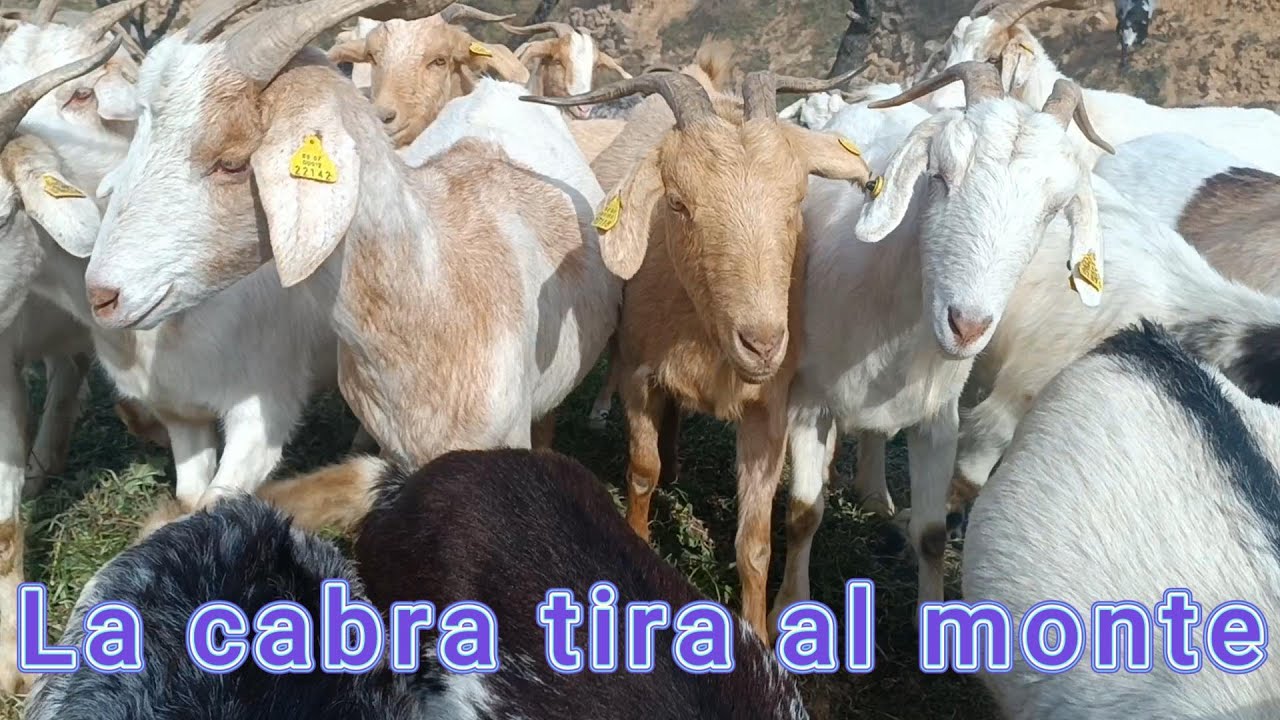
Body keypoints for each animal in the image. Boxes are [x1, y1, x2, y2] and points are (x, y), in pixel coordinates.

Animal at [524, 67, 877, 641]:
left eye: (797, 199)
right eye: (678, 203)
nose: (761, 342)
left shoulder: (768, 410)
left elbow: (755, 542)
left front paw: (758, 634)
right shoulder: (640, 376)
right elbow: (640, 472)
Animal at [782, 62, 1112, 626]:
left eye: (1053, 210)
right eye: (939, 175)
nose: (967, 326)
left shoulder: (938, 418)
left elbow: (933, 536)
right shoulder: (807, 400)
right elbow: (804, 516)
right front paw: (787, 613)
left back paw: (875, 493)